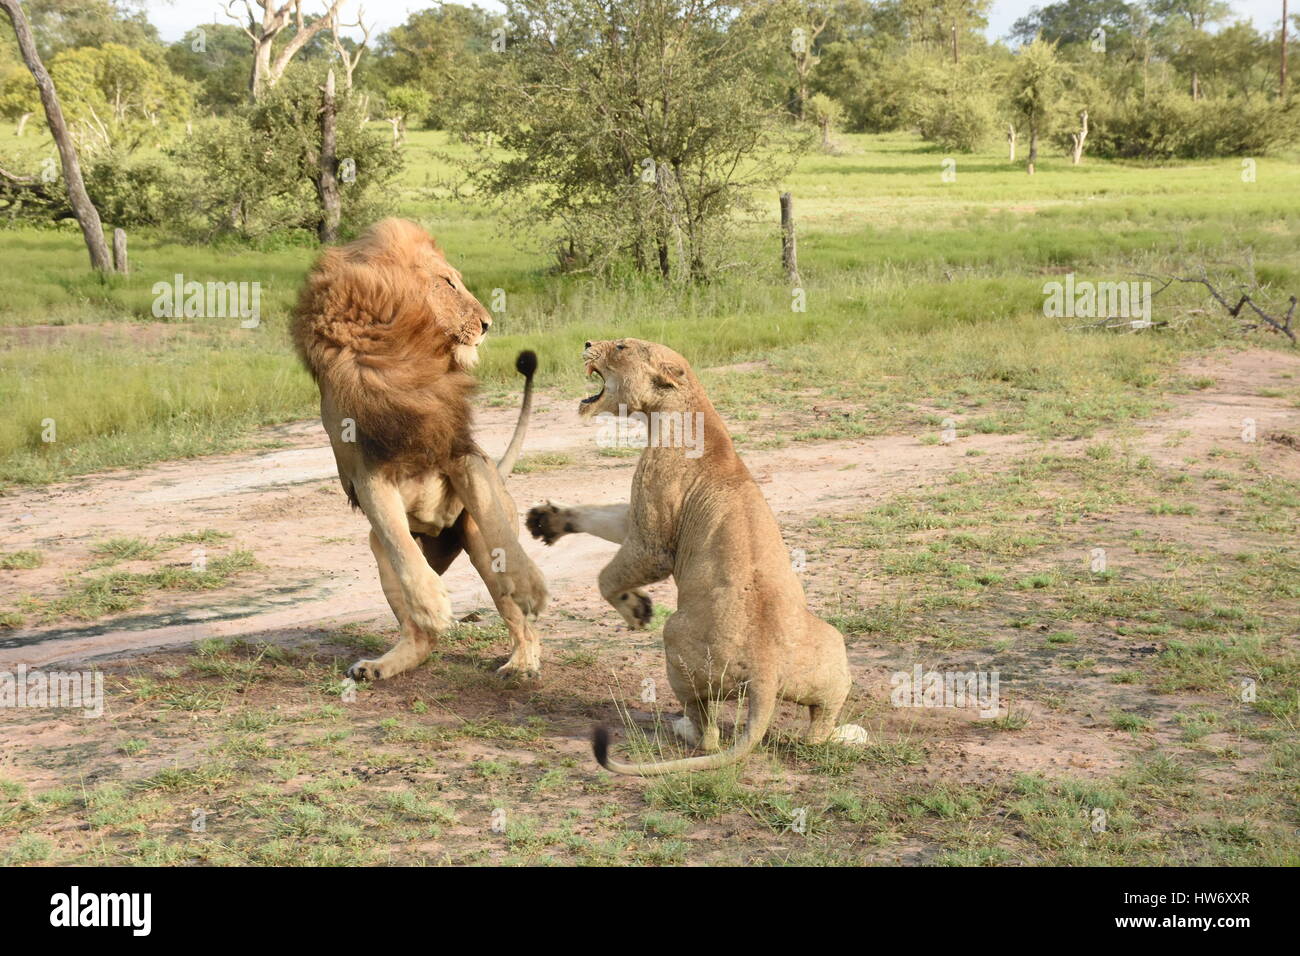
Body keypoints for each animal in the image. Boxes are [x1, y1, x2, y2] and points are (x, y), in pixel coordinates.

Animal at [296, 218, 548, 681]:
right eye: (448, 283)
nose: (487, 323)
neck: (401, 349)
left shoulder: (462, 453)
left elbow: (502, 535)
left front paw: (532, 585)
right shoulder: (367, 474)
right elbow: (400, 545)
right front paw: (433, 604)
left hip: (476, 539)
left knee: (518, 615)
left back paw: (521, 663)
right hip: (380, 551)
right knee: (420, 628)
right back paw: (382, 664)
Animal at [527, 340, 863, 775]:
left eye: (620, 346)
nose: (586, 344)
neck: (686, 409)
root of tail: (766, 669)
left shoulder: (653, 539)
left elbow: (609, 576)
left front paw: (636, 609)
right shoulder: (636, 518)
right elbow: (599, 516)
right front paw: (546, 520)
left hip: (676, 642)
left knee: (708, 733)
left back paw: (683, 728)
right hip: (832, 649)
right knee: (818, 730)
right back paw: (848, 734)